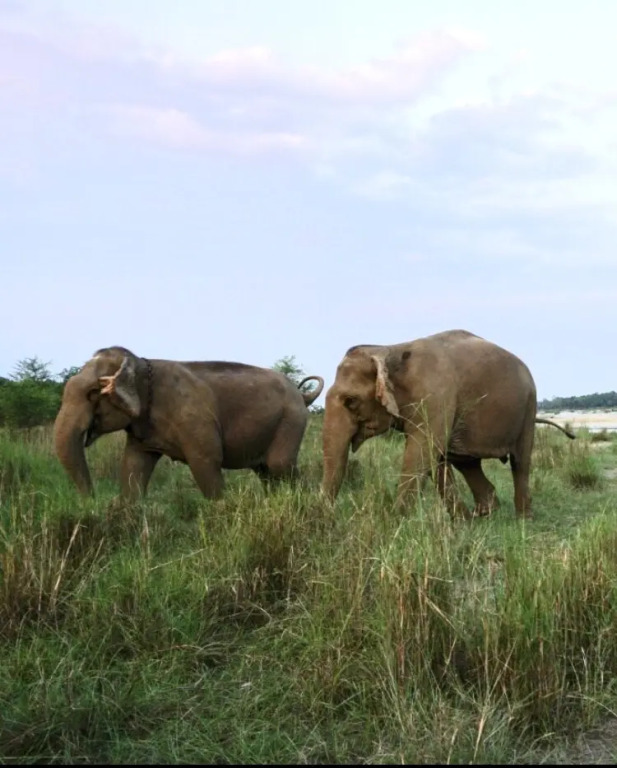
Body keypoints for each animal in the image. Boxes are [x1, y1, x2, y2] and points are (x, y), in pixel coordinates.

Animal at [54, 346, 324, 499]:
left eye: (92, 393)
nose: (92, 500)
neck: (141, 363)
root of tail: (302, 395)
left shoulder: (195, 417)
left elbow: (206, 462)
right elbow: (133, 466)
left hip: (291, 420)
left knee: (280, 466)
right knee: (265, 471)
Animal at [321, 329, 574, 519]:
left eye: (350, 401)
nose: (329, 516)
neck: (388, 349)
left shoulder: (436, 396)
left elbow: (421, 451)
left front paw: (394, 522)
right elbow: (435, 457)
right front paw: (461, 523)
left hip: (528, 407)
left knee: (520, 462)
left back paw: (522, 519)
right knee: (467, 462)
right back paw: (484, 514)